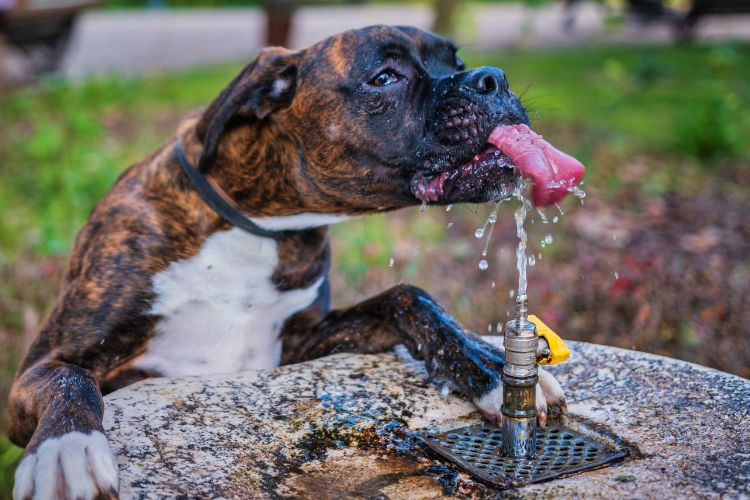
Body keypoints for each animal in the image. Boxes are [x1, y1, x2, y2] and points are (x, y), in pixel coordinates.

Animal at [7, 25, 576, 498]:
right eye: (384, 77)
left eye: (456, 60)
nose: (491, 79)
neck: (255, 226)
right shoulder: (40, 370)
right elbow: (69, 379)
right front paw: (66, 452)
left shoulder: (299, 347)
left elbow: (407, 296)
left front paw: (490, 367)